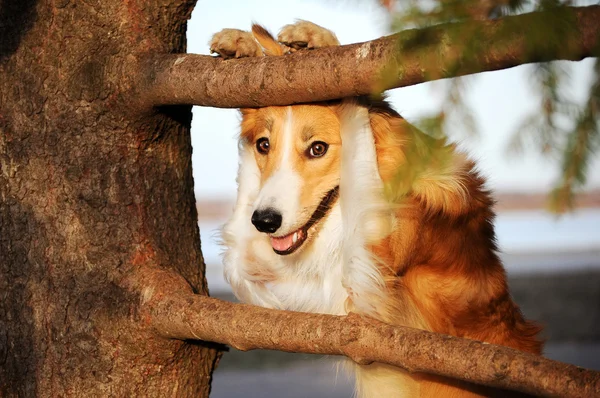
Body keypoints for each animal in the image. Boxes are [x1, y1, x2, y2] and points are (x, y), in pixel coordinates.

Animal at [212, 21, 544, 398]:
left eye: (317, 148)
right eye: (264, 145)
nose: (265, 222)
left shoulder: (364, 293)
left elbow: (357, 123)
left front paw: (320, 46)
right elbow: (237, 247)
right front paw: (244, 45)